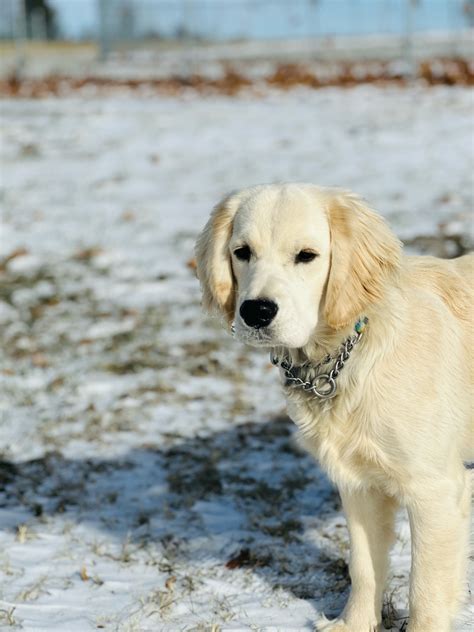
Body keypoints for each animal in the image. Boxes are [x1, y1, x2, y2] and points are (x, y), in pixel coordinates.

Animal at [194, 183, 472, 632]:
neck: (348, 354)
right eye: (242, 252)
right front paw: (353, 623)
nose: (256, 311)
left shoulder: (436, 490)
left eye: (306, 255)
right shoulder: (359, 484)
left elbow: (426, 592)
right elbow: (363, 565)